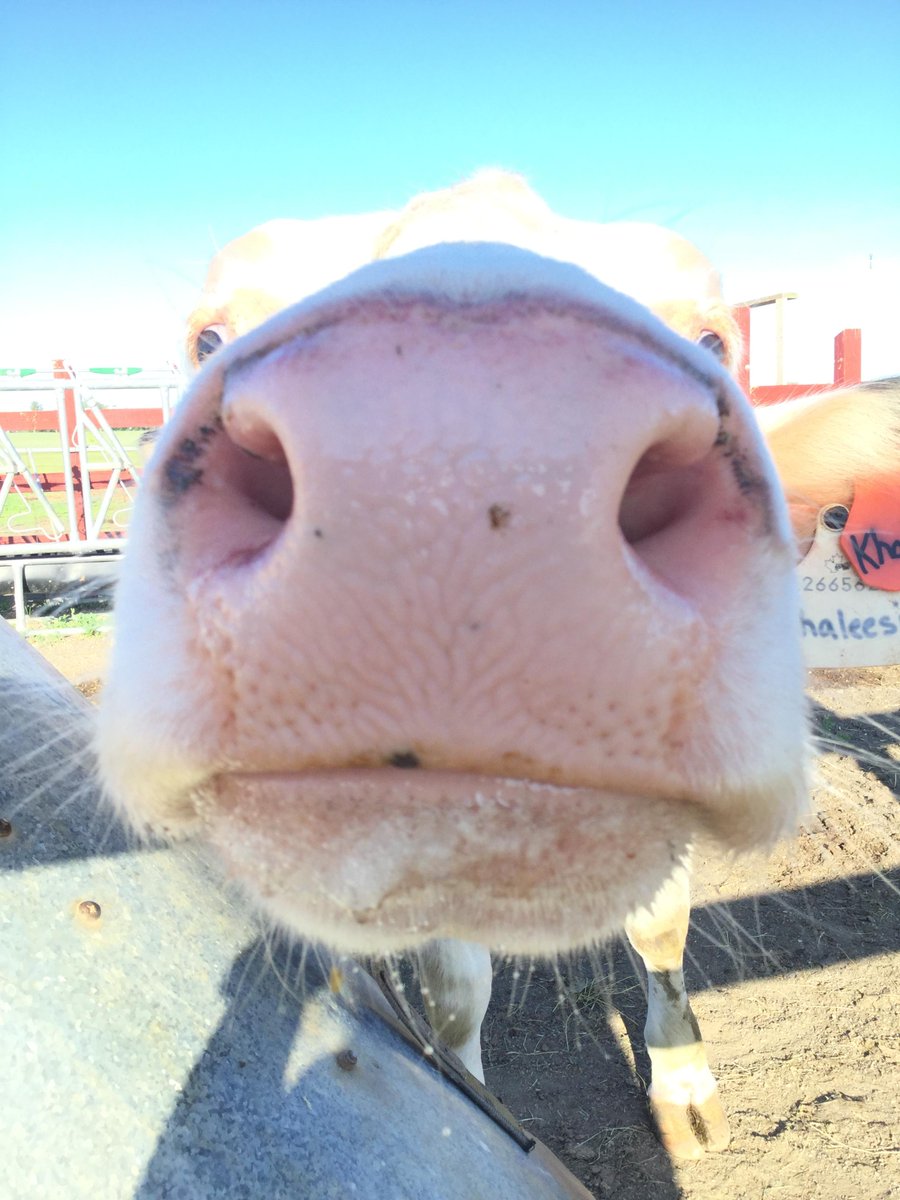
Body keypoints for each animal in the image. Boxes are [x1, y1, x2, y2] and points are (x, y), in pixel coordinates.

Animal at [100, 174, 897, 1156]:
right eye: (207, 338)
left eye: (714, 337)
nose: (453, 467)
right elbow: (454, 995)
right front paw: (475, 1106)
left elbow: (661, 931)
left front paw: (683, 1086)